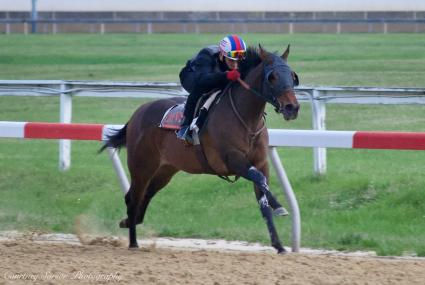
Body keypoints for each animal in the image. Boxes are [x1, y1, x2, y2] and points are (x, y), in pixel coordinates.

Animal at [99, 45, 298, 253]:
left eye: (292, 76)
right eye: (272, 77)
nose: (292, 107)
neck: (246, 120)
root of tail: (137, 113)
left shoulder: (260, 162)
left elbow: (263, 197)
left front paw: (279, 245)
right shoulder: (233, 159)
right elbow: (260, 180)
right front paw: (279, 206)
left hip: (165, 170)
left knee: (145, 195)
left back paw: (130, 222)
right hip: (142, 166)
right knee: (133, 197)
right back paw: (133, 242)